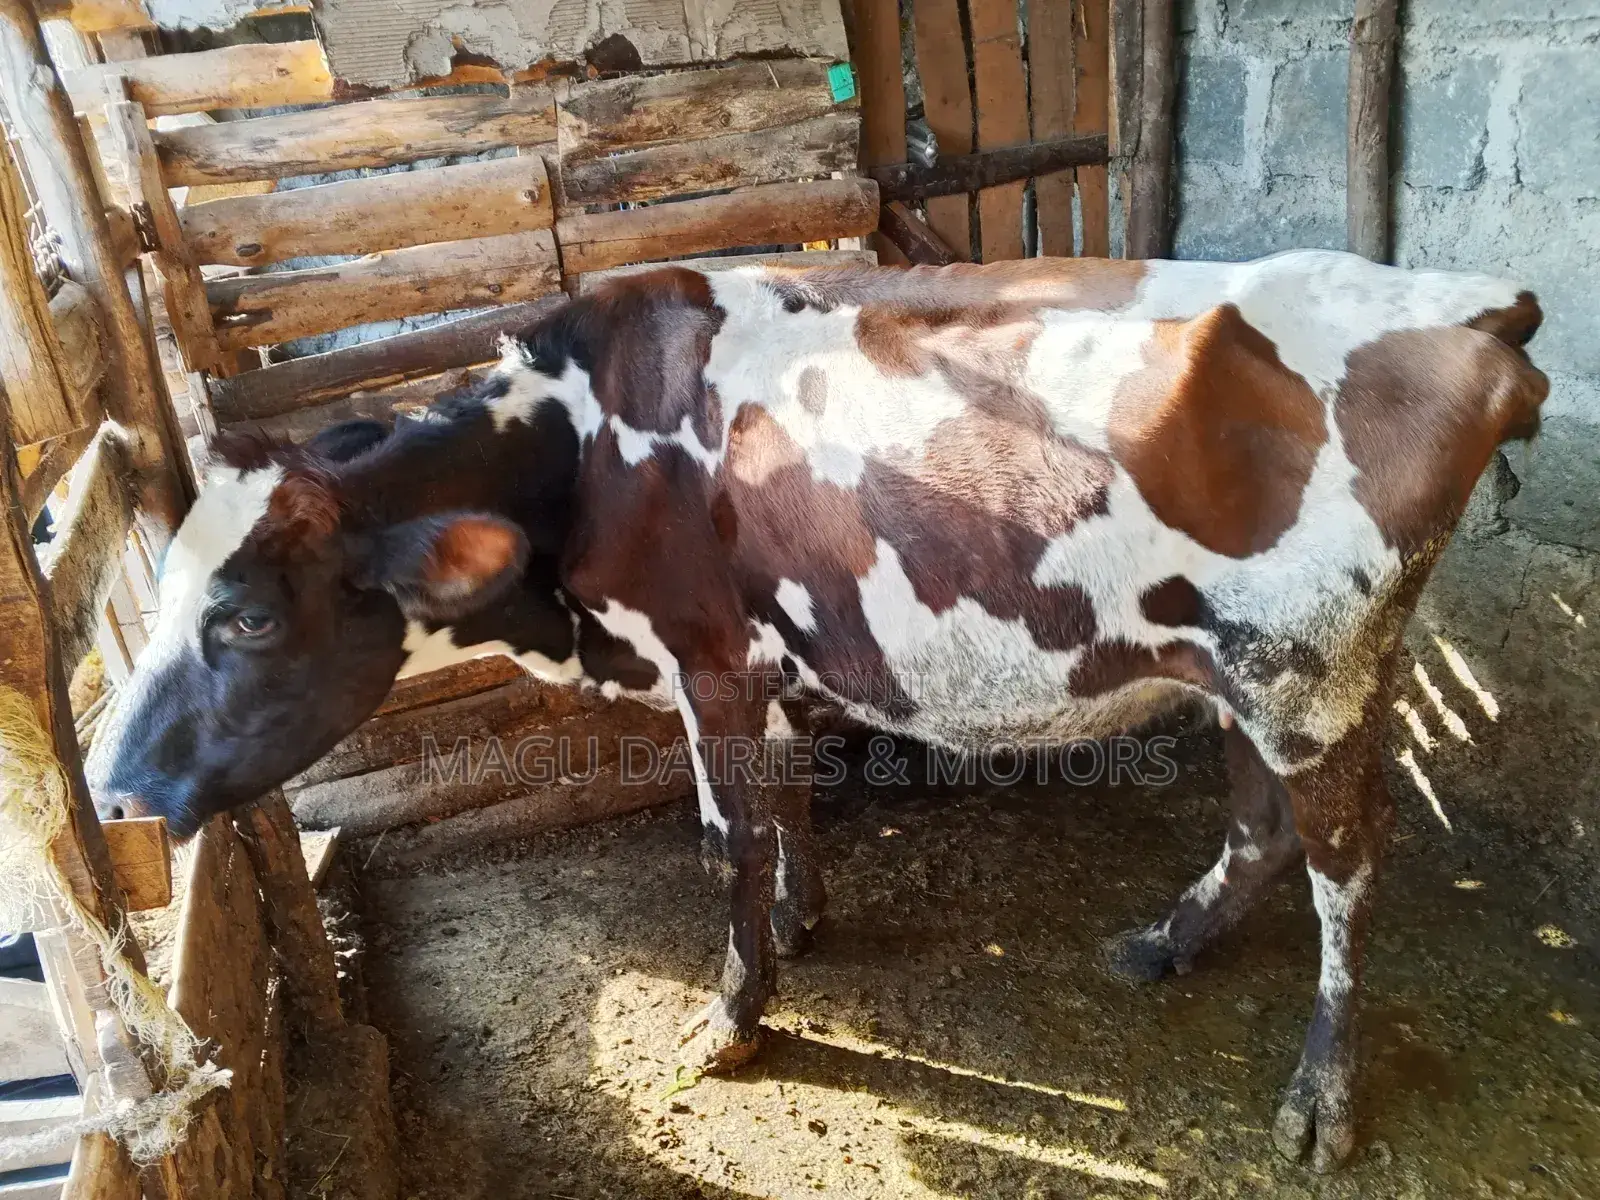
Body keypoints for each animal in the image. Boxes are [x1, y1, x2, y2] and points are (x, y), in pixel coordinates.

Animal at [86, 249, 1547, 1172]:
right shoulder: (771, 653)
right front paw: (802, 922)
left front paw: (735, 1013)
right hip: (1245, 670)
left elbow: (726, 836)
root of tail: (1468, 306)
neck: (581, 444)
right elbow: (788, 800)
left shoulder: (706, 656)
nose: (113, 786)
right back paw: (1167, 943)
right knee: (1261, 825)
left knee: (1350, 867)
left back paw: (1321, 1099)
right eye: (157, 598)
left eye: (247, 618)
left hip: (1311, 670)